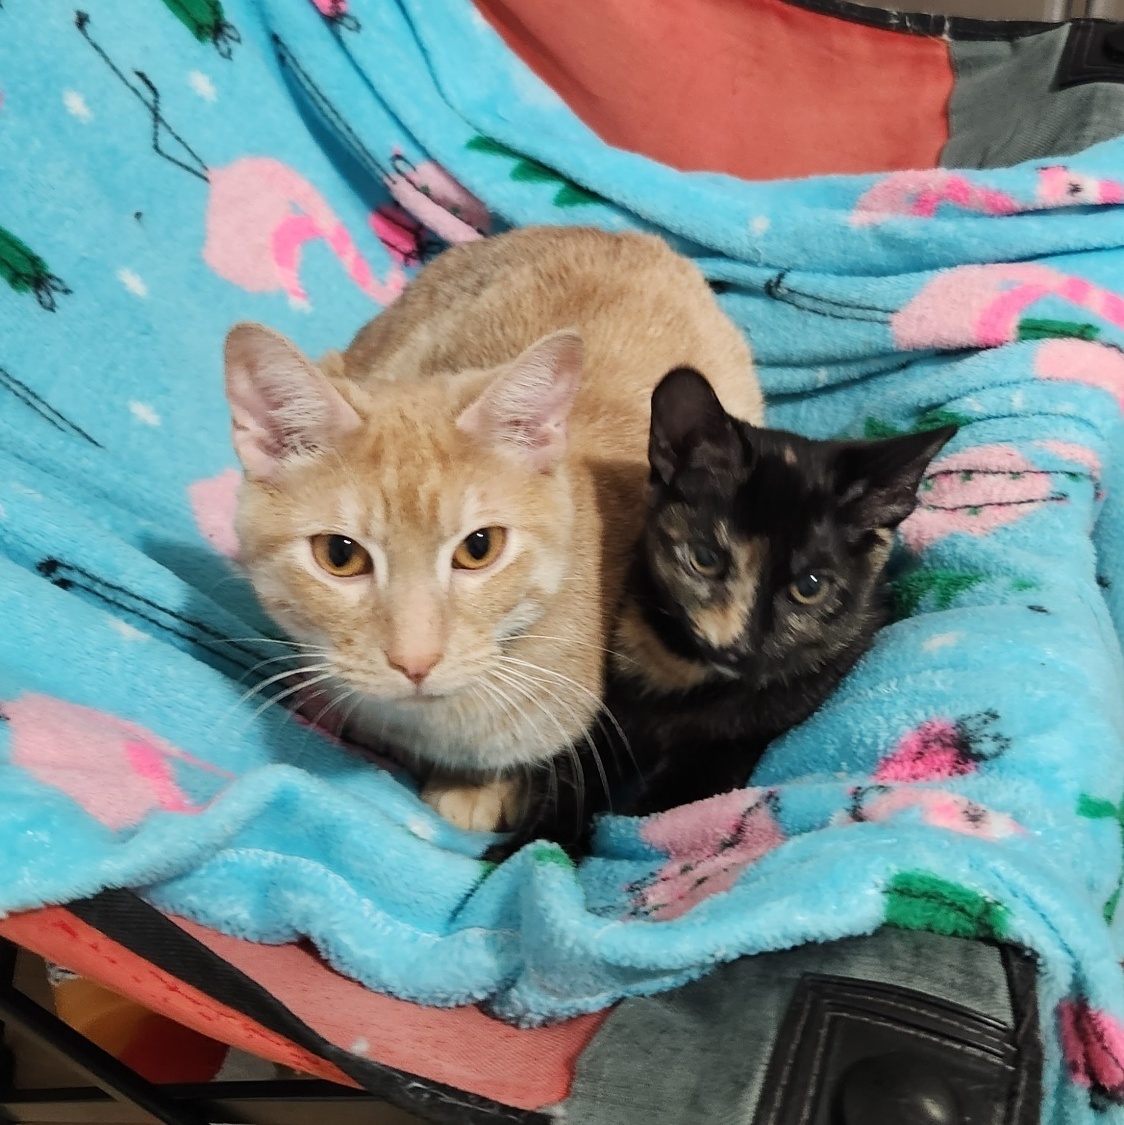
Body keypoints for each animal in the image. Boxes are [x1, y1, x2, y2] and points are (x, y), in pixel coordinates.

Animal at [497, 364, 954, 855]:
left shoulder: (731, 747)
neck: (685, 673)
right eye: (705, 559)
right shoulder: (601, 711)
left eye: (810, 587)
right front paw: (529, 845)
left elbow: (656, 806)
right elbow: (574, 775)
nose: (737, 648)